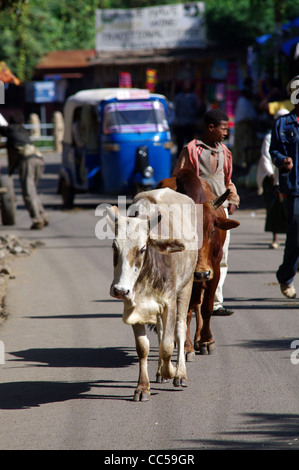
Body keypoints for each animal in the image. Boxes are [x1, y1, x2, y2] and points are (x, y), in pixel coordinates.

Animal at [156, 171, 240, 358]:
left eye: (212, 231)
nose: (201, 273)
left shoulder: (214, 270)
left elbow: (206, 307)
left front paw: (207, 341)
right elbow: (185, 310)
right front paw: (186, 347)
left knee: (198, 304)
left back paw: (199, 339)